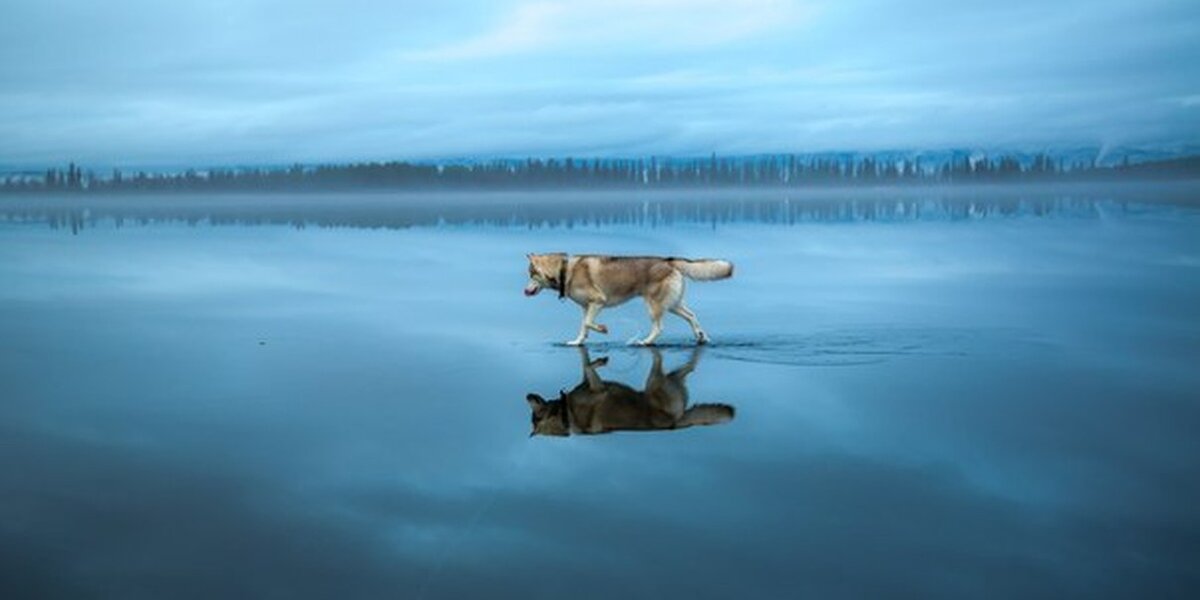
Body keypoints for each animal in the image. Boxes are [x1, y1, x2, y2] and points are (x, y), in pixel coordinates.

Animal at [523, 254, 729, 348]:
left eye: (531, 275)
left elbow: (589, 323)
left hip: (654, 306)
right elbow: (584, 326)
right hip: (672, 305)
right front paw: (577, 342)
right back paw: (701, 336)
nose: (524, 291)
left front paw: (603, 329)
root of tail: (669, 260)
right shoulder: (586, 307)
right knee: (691, 315)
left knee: (659, 328)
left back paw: (645, 342)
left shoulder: (598, 302)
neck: (565, 271)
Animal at [525, 348, 729, 436]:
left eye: (536, 417)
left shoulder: (598, 388)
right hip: (667, 382)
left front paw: (599, 361)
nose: (527, 395)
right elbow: (587, 367)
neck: (566, 415)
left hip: (656, 381)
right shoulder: (594, 386)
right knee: (687, 368)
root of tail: (673, 424)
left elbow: (588, 366)